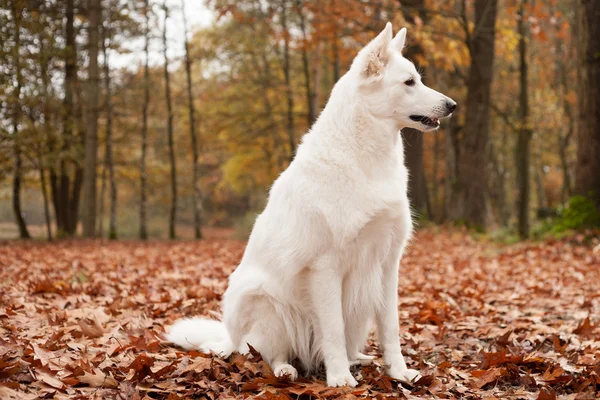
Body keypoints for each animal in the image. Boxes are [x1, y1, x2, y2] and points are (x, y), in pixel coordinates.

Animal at [166, 23, 458, 386]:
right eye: (409, 83)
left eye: (417, 79)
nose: (452, 105)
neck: (363, 158)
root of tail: (228, 340)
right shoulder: (325, 268)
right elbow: (332, 330)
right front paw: (340, 379)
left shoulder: (388, 264)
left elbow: (391, 329)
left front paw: (399, 372)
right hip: (264, 301)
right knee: (265, 352)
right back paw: (285, 369)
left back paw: (358, 359)